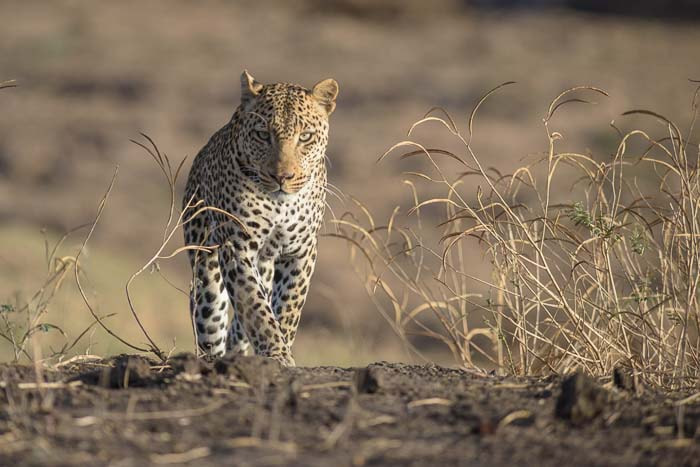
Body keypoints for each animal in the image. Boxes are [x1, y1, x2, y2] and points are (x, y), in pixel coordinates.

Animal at [182, 70, 338, 366]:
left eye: (305, 137)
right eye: (263, 135)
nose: (282, 177)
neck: (281, 205)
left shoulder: (302, 250)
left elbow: (288, 305)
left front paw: (282, 348)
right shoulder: (236, 247)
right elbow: (255, 306)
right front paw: (276, 353)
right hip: (205, 263)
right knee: (209, 318)